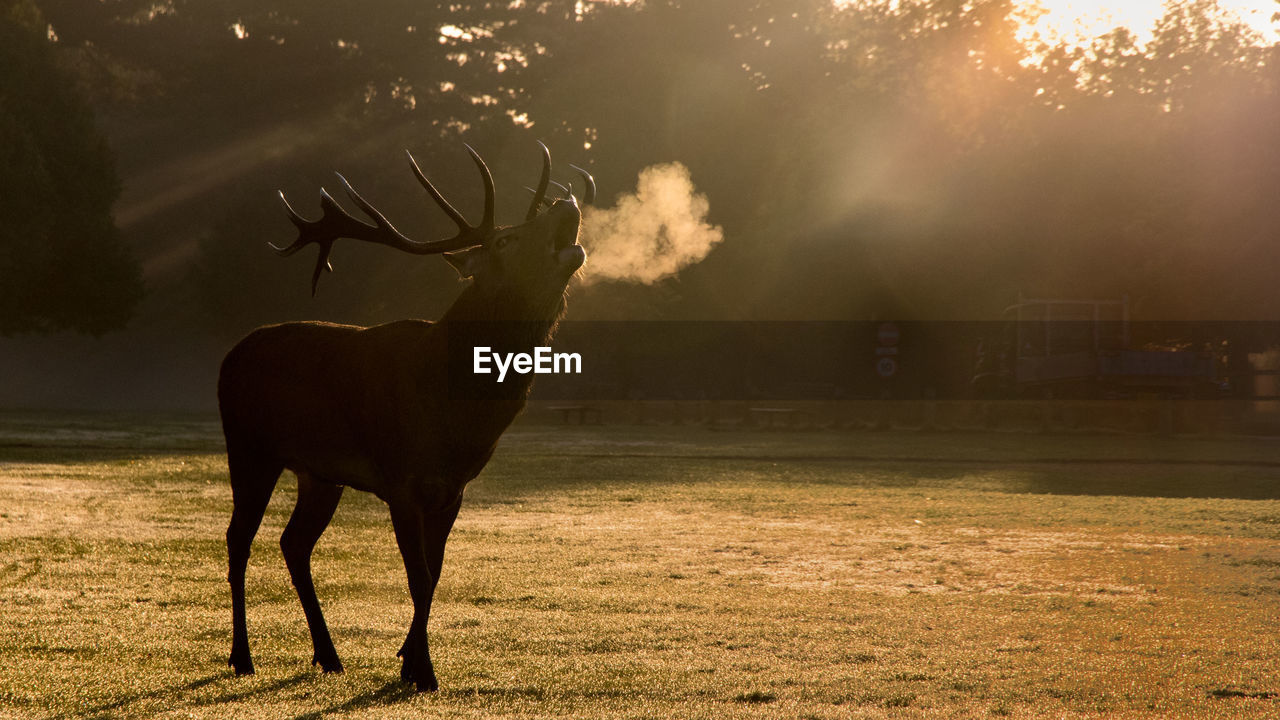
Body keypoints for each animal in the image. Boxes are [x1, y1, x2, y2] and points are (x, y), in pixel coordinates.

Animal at [216, 141, 593, 691]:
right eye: (506, 239)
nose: (567, 204)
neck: (455, 411)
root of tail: (229, 354)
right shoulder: (400, 479)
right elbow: (418, 574)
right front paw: (424, 673)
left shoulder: (453, 488)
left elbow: (433, 575)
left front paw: (409, 661)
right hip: (248, 447)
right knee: (238, 539)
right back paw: (242, 656)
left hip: (319, 473)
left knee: (293, 543)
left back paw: (328, 654)